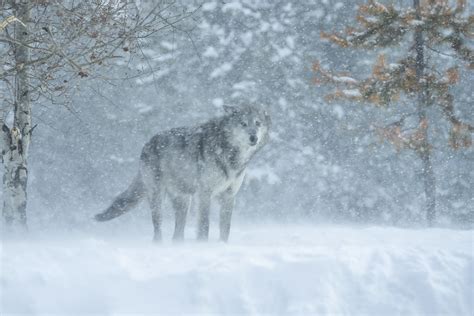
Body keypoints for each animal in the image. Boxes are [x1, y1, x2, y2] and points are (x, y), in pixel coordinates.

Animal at [94, 105, 270, 242]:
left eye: (257, 123)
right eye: (243, 124)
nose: (253, 137)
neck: (231, 153)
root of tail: (147, 143)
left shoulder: (229, 195)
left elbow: (225, 228)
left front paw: (222, 245)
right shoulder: (204, 193)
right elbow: (204, 225)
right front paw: (203, 246)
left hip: (184, 201)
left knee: (177, 234)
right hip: (158, 198)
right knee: (157, 228)